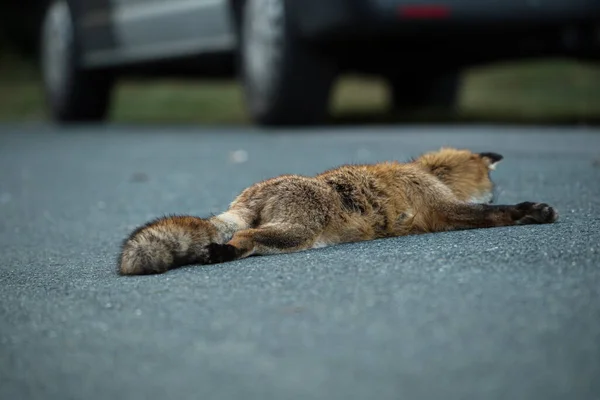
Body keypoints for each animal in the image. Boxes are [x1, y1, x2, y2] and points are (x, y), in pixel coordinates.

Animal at [116, 147, 556, 276]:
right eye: (492, 187)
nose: (494, 191)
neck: (427, 173)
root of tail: (251, 195)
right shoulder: (442, 209)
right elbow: (495, 215)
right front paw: (529, 210)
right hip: (295, 233)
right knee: (243, 236)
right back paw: (222, 252)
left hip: (286, 236)